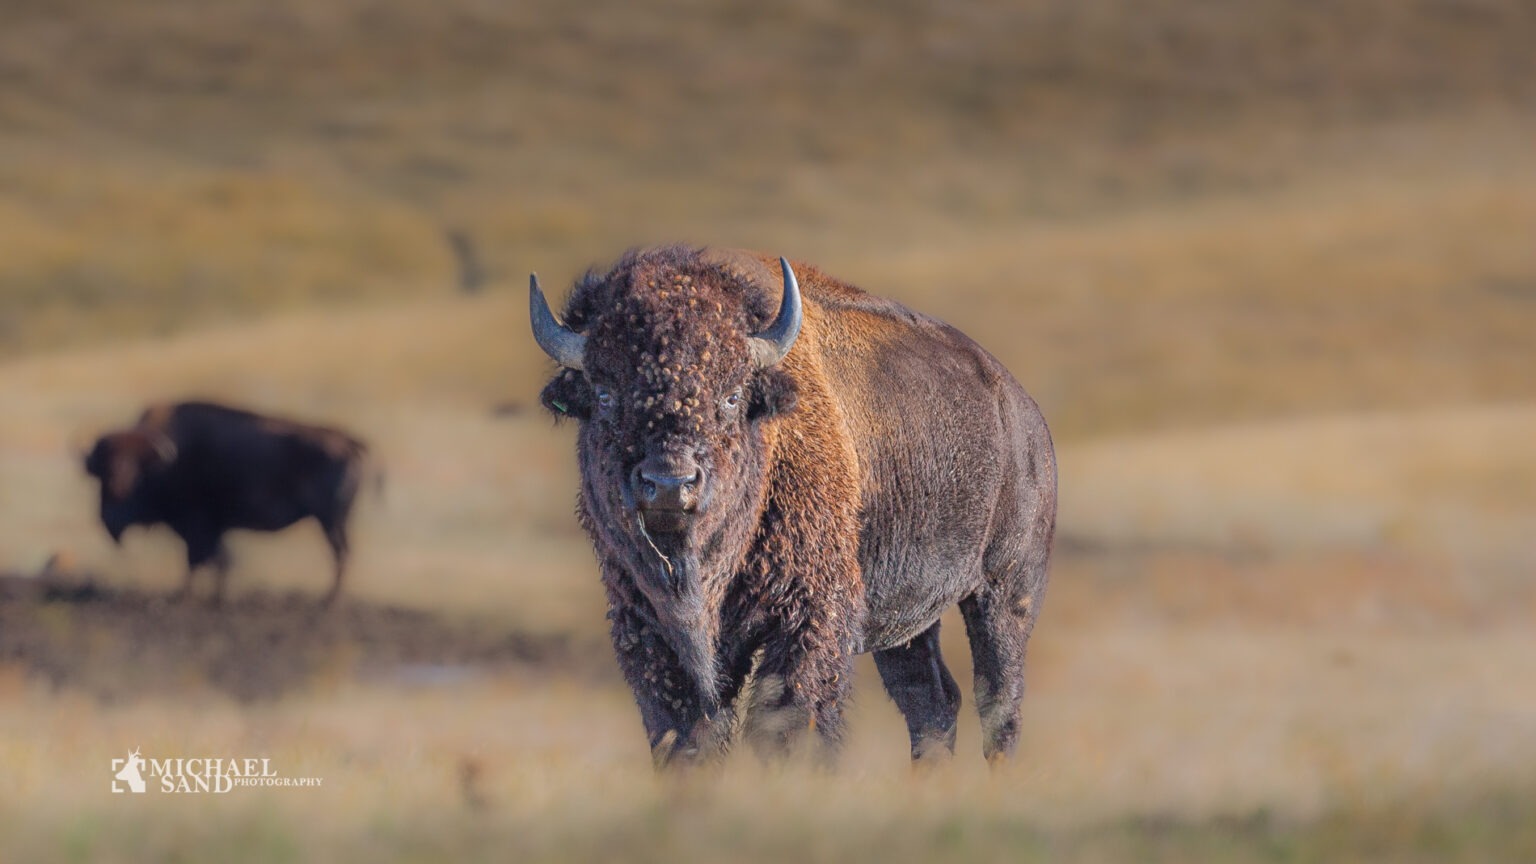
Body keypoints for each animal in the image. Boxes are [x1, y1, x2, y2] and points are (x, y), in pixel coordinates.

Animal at [82, 401, 373, 606]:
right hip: (332, 522)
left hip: (330, 521)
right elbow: (219, 561)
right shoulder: (213, 530)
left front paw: (185, 597)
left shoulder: (195, 527)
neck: (167, 462)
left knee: (341, 555)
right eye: (103, 467)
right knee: (343, 555)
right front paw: (216, 598)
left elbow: (198, 562)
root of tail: (348, 442)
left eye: (135, 466)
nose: (117, 488)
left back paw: (329, 602)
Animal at [531, 246, 1056, 765]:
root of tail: (1025, 413)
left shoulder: (808, 616)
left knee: (999, 705)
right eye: (604, 394)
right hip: (909, 623)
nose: (669, 483)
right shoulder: (649, 629)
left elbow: (787, 721)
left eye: (732, 396)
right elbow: (684, 733)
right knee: (932, 704)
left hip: (1005, 593)